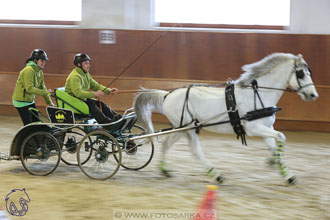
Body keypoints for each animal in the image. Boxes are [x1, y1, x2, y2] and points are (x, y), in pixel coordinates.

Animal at [133, 52, 318, 184]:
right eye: (301, 74)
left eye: (308, 72)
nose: (313, 95)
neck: (258, 93)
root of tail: (167, 94)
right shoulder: (254, 128)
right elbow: (282, 136)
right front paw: (280, 167)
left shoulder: (266, 128)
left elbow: (274, 146)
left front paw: (284, 172)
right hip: (187, 127)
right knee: (196, 151)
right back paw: (216, 174)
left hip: (182, 128)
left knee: (166, 144)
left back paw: (165, 170)